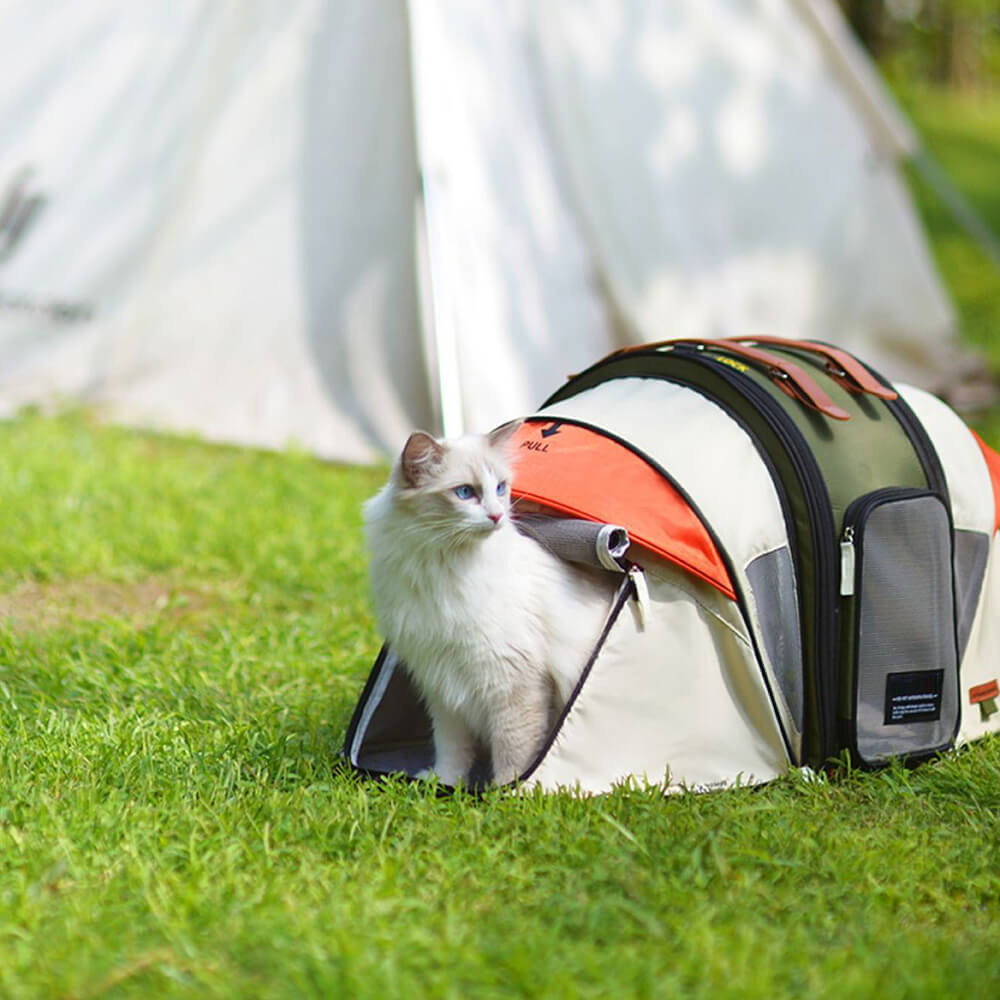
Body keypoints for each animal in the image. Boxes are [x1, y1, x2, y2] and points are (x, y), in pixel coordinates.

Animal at [366, 422, 616, 788]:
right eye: (464, 493)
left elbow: (513, 749)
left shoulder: (510, 681)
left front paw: (503, 792)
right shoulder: (442, 683)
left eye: (500, 488)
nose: (497, 516)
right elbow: (452, 748)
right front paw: (445, 784)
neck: (443, 566)